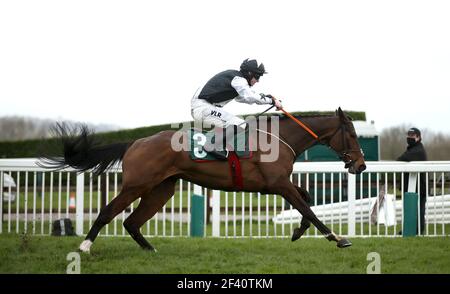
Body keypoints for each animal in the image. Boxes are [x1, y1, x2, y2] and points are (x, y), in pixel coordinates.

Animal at [40, 108, 368, 253]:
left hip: (162, 189)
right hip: (138, 185)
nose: (362, 165)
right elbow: (309, 208)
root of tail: (135, 142)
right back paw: (84, 247)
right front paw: (337, 237)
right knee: (109, 211)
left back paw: (150, 250)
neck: (277, 138)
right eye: (352, 134)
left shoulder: (277, 184)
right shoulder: (278, 184)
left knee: (132, 221)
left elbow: (307, 200)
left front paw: (298, 232)